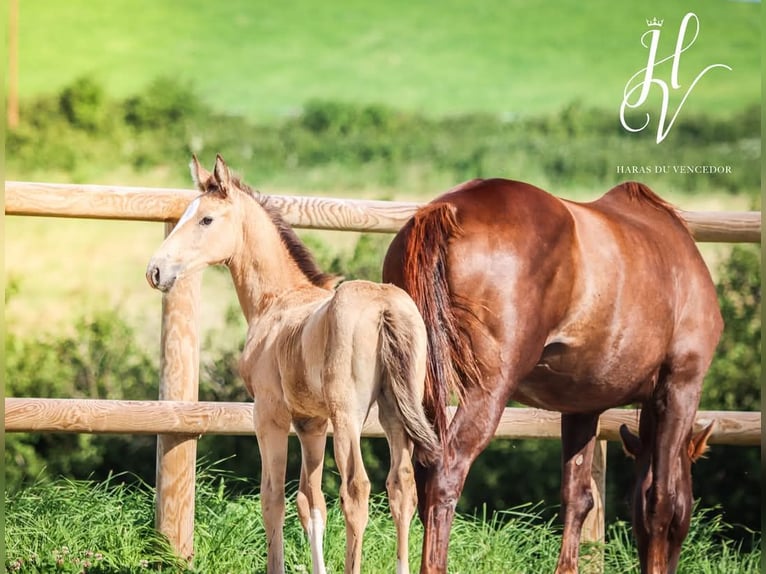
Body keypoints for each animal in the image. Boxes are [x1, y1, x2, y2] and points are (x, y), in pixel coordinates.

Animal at [146, 155, 440, 572]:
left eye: (206, 219)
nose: (155, 271)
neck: (277, 299)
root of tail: (384, 306)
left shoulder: (270, 414)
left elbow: (273, 499)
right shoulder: (310, 422)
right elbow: (310, 501)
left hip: (349, 415)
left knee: (356, 489)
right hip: (394, 410)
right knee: (402, 486)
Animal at [384, 180, 728, 574]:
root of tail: (444, 213)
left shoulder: (582, 406)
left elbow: (578, 497)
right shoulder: (679, 388)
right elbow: (660, 498)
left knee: (419, 473)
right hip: (487, 391)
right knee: (446, 470)